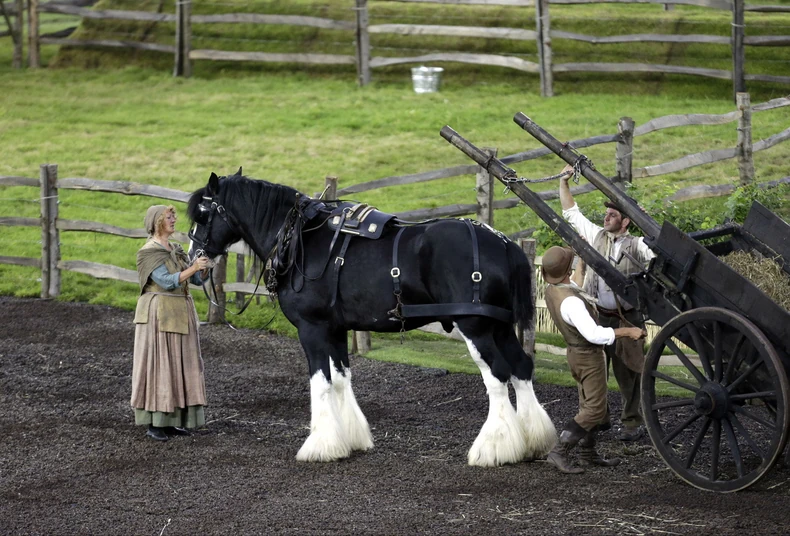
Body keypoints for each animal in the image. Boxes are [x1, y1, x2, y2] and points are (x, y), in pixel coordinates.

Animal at [187, 168, 556, 466]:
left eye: (203, 214)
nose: (194, 261)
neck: (300, 238)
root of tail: (502, 241)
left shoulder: (312, 329)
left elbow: (320, 382)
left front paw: (320, 445)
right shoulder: (335, 329)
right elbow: (341, 379)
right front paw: (350, 439)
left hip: (476, 327)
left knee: (497, 375)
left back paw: (494, 448)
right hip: (500, 326)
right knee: (521, 368)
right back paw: (533, 441)